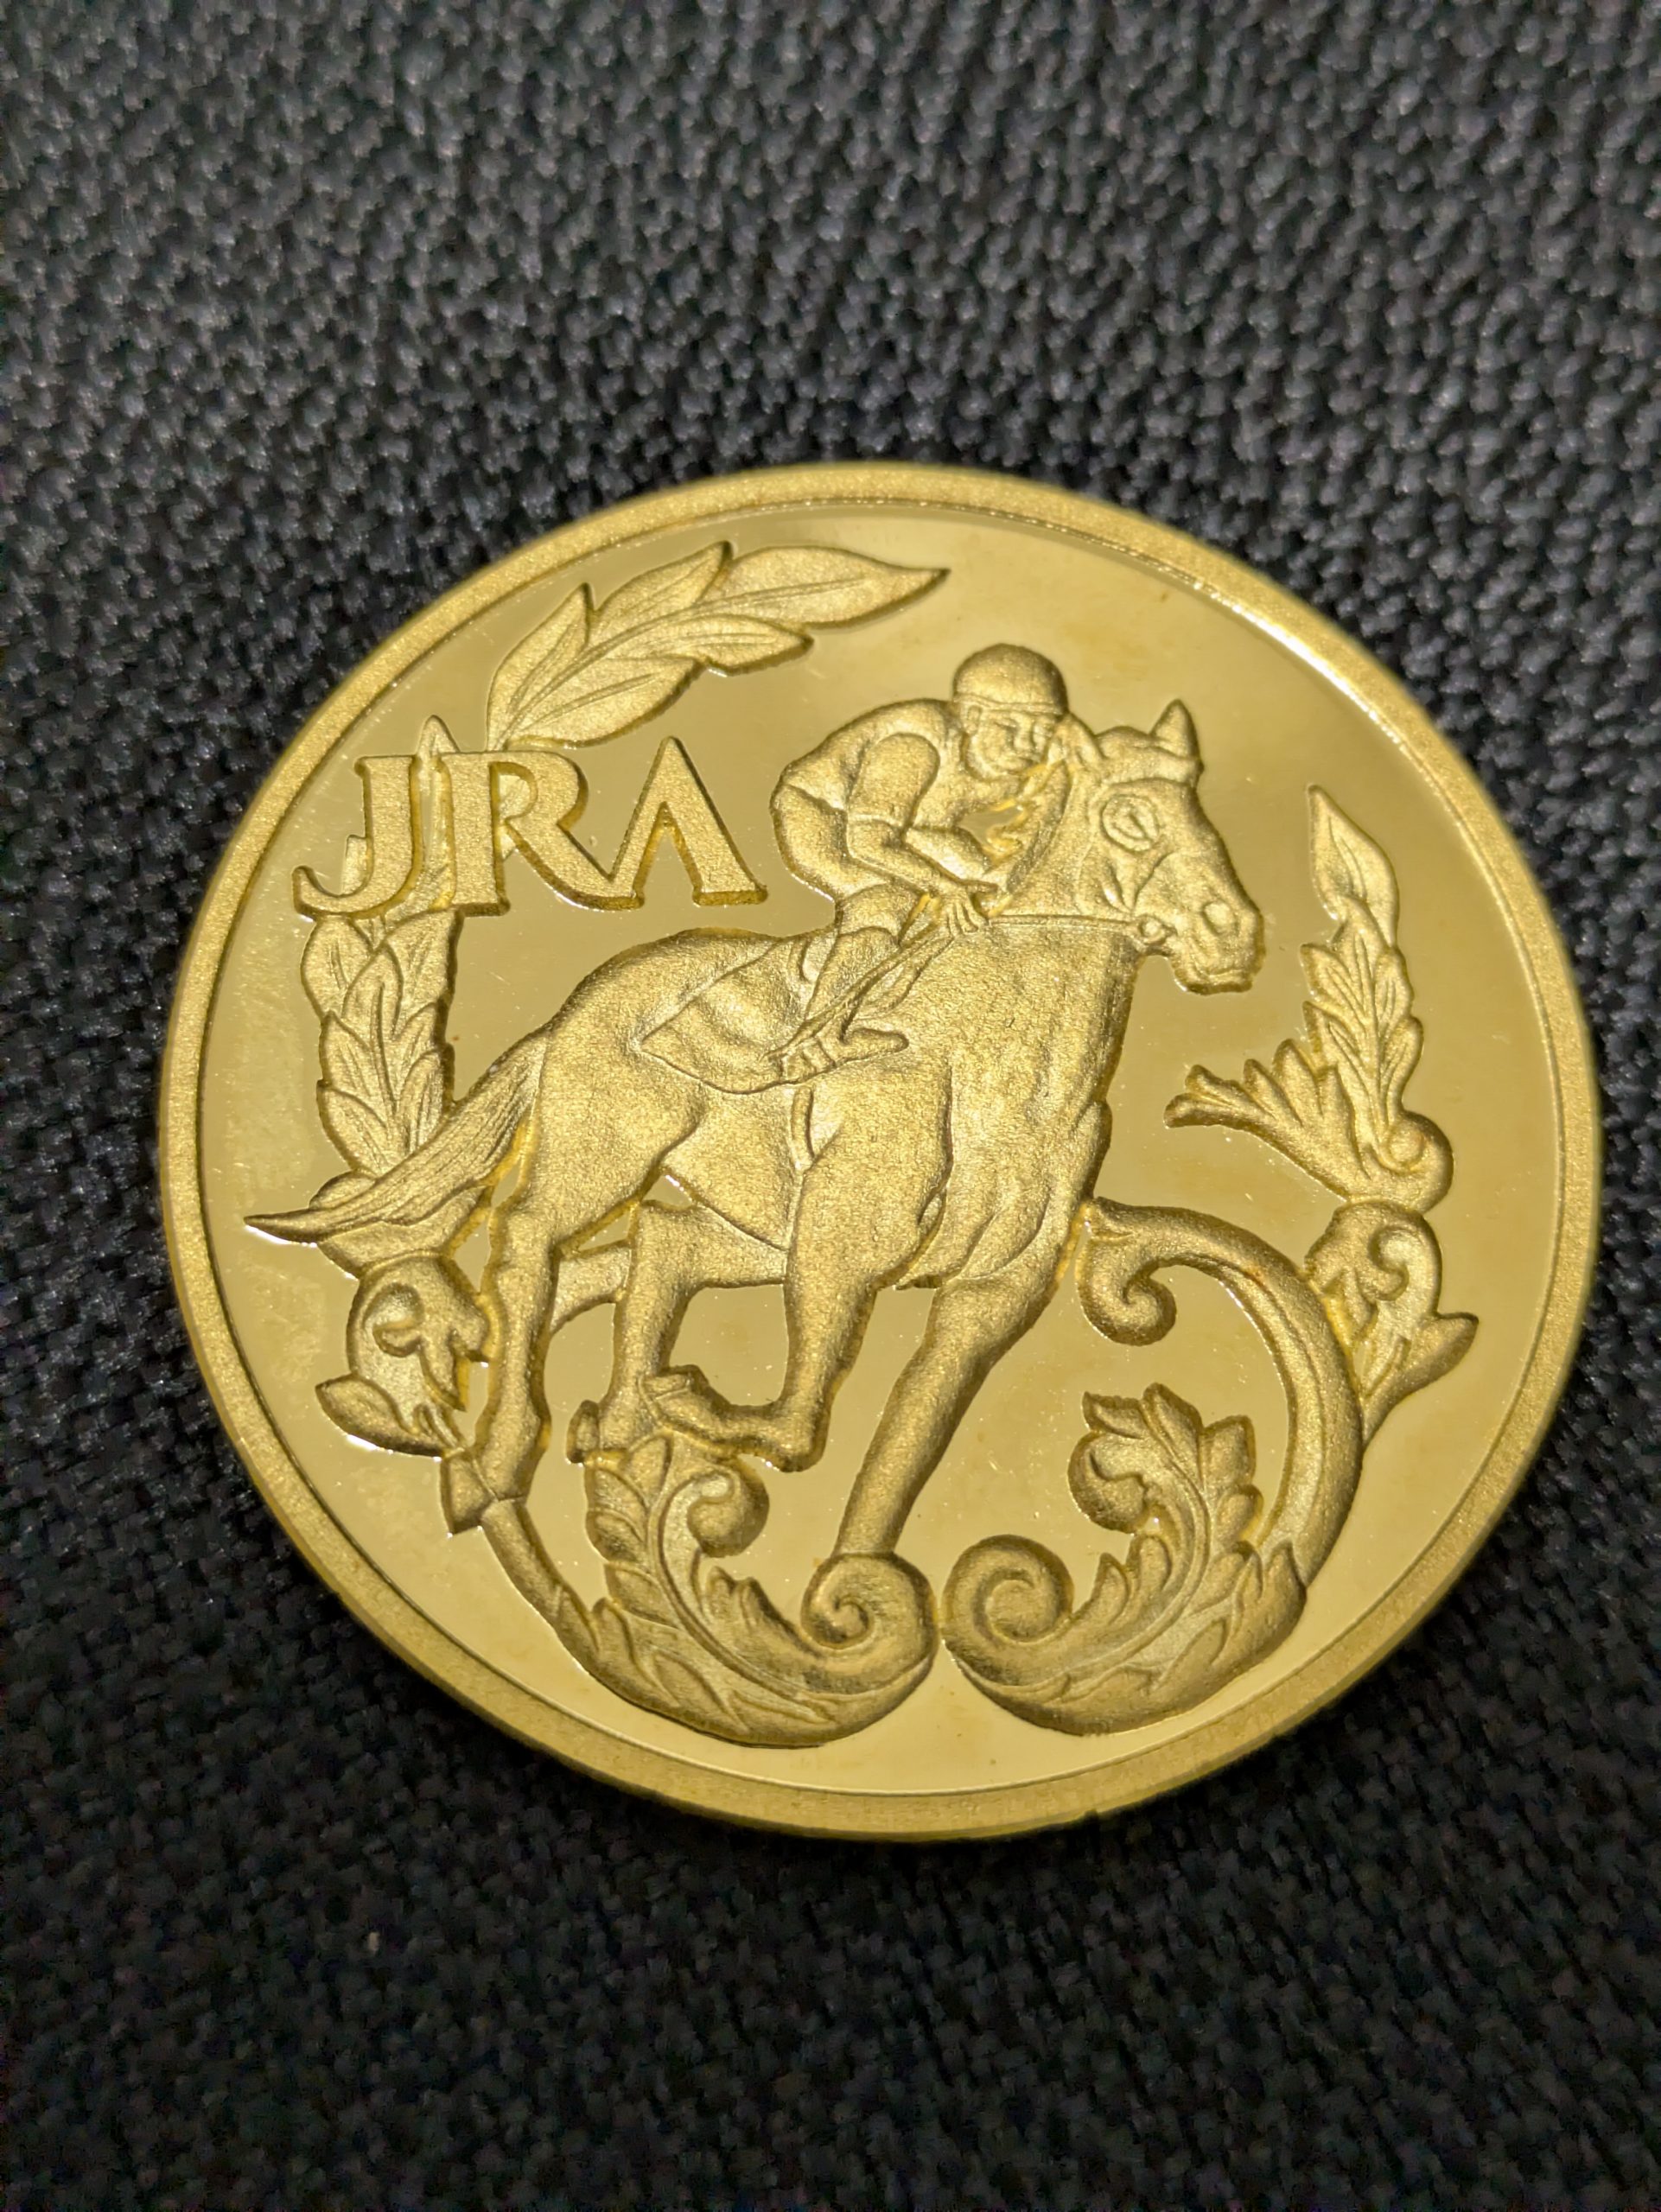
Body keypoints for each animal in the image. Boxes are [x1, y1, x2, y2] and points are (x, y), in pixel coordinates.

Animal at [255, 700, 1261, 1560]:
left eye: (1200, 805)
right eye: (1130, 817)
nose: (1236, 935)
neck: (999, 1057)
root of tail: (570, 1014)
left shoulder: (990, 1291)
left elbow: (903, 1441)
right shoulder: (843, 1237)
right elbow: (799, 1414)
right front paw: (715, 1421)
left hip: (750, 1226)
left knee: (656, 1240)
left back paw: (617, 1417)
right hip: (609, 1158)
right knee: (527, 1241)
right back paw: (501, 1457)